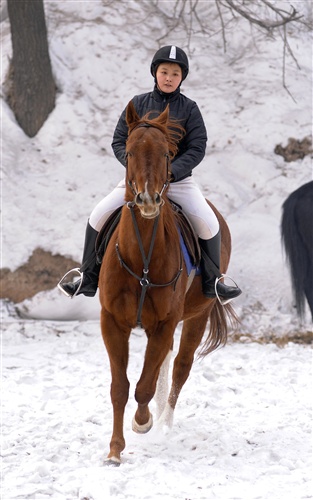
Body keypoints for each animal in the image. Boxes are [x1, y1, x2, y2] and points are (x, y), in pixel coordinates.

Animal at [98, 100, 238, 464]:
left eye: (166, 154)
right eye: (129, 151)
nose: (147, 201)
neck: (141, 258)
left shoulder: (164, 322)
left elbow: (144, 386)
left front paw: (143, 422)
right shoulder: (112, 322)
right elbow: (120, 388)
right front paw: (115, 450)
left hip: (196, 317)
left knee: (179, 367)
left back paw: (164, 423)